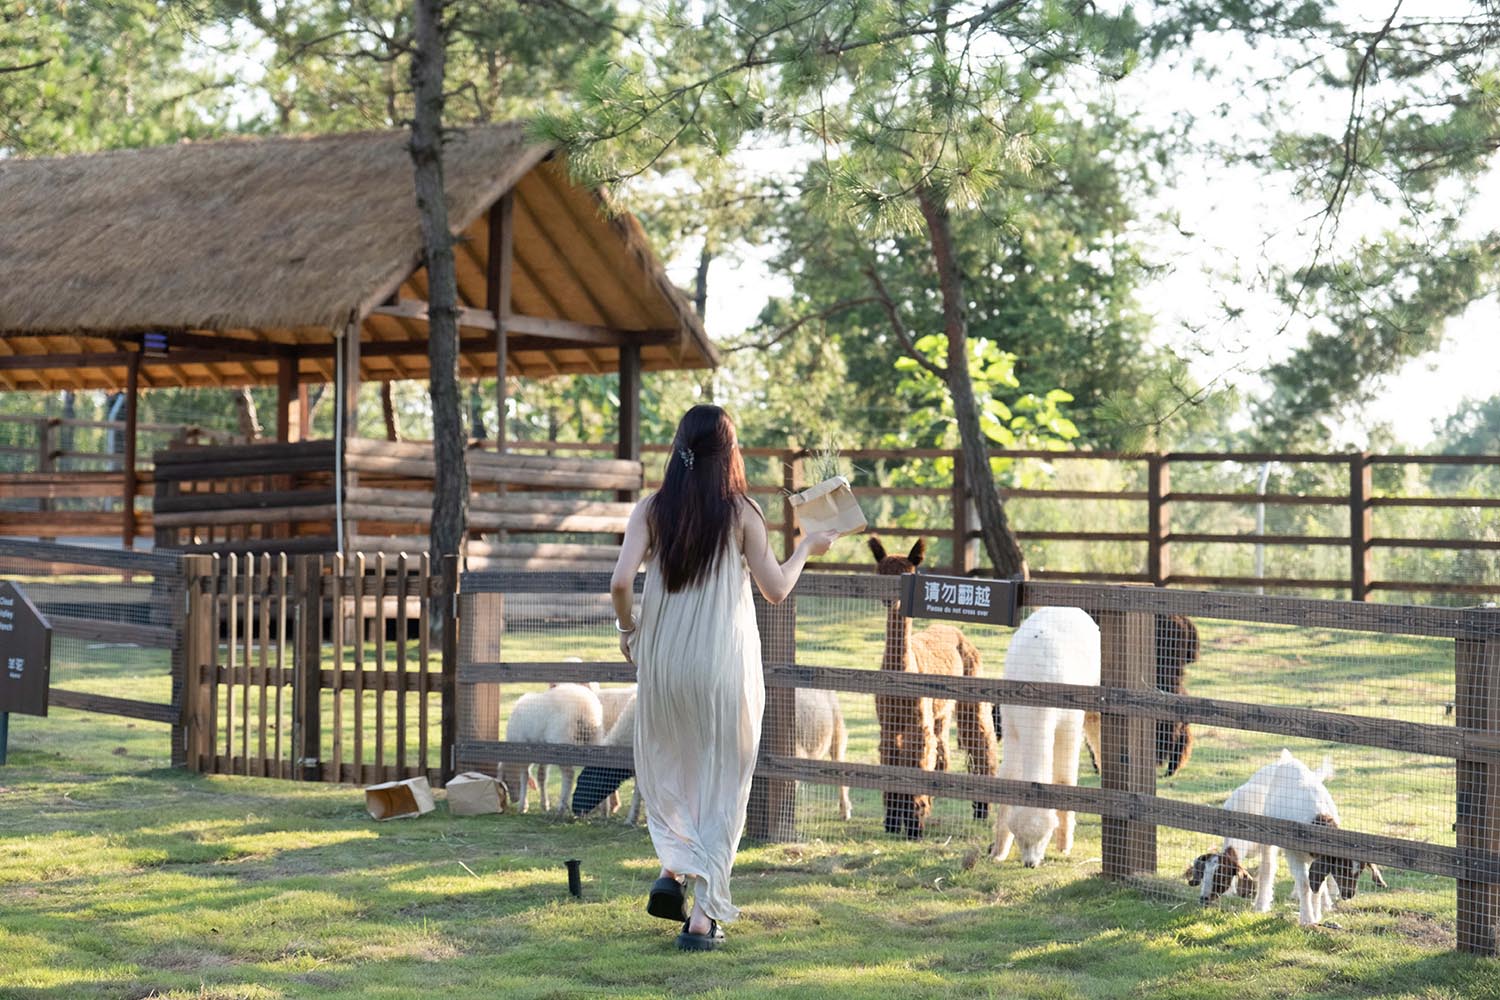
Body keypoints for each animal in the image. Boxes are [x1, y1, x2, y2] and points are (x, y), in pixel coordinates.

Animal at [501, 683, 600, 815]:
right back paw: (602, 808)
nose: (513, 800)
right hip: (595, 738)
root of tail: (584, 709)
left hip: (562, 742)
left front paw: (523, 805)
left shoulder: (524, 751)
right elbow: (541, 777)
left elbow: (524, 777)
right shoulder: (543, 754)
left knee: (569, 774)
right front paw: (544, 804)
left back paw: (561, 808)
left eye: (506, 781)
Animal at [870, 539, 996, 839]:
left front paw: (914, 825)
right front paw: (893, 821)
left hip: (970, 690)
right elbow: (891, 765)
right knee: (941, 749)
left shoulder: (917, 723)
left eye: (907, 574)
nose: (889, 599)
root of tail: (953, 629)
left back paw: (981, 810)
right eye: (881, 573)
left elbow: (916, 763)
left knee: (981, 740)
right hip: (940, 711)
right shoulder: (889, 725)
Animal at [996, 602, 1104, 869]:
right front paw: (998, 851)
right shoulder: (1010, 722)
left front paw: (1064, 845)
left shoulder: (1069, 722)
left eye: (1044, 837)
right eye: (1020, 838)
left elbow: (1065, 778)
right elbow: (1008, 776)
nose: (1030, 863)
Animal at [1182, 746, 1380, 929]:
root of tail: (1288, 759)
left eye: (1221, 877)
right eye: (1203, 874)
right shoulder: (1286, 849)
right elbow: (1300, 881)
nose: (1204, 899)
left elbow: (1310, 882)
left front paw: (1311, 916)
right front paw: (1308, 917)